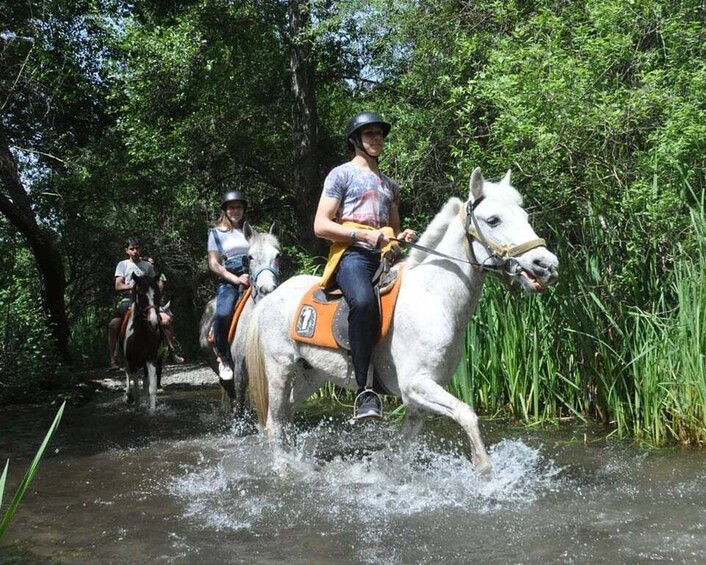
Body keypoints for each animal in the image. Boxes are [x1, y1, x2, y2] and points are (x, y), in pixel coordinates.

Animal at [198, 228, 280, 414]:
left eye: (278, 255)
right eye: (250, 257)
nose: (267, 290)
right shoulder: (241, 370)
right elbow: (240, 401)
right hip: (214, 360)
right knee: (229, 389)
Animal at [245, 169, 560, 476]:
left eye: (525, 217)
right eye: (493, 219)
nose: (547, 265)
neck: (434, 299)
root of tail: (272, 295)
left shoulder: (419, 400)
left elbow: (402, 446)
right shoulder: (416, 385)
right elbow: (467, 414)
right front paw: (484, 473)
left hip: (313, 373)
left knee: (287, 414)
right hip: (280, 368)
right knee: (274, 422)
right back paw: (283, 469)